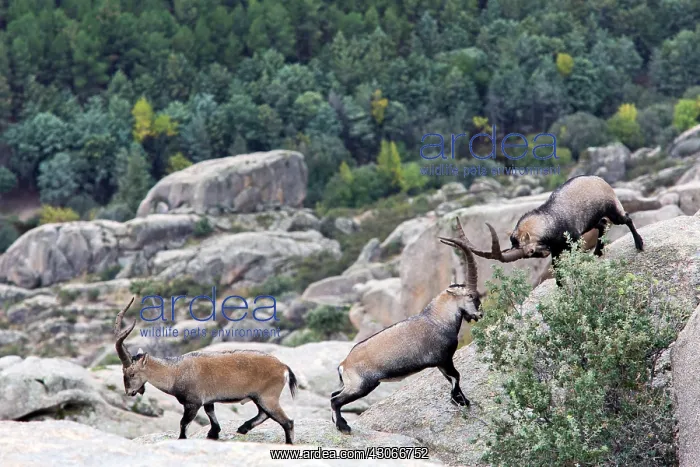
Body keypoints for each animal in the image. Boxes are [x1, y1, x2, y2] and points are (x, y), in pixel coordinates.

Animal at [114, 297, 298, 444]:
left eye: (131, 373)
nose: (130, 392)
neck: (174, 372)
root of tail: (283, 366)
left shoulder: (193, 403)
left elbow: (183, 424)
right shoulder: (208, 400)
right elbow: (211, 415)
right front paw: (213, 434)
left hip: (268, 396)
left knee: (286, 421)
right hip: (259, 397)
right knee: (264, 414)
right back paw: (243, 428)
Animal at [331, 227, 482, 434]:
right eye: (471, 296)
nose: (480, 314)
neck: (437, 319)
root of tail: (344, 364)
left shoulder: (441, 363)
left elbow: (451, 378)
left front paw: (461, 400)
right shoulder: (444, 358)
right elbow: (456, 376)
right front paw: (460, 401)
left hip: (351, 385)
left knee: (333, 394)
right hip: (361, 385)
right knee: (336, 400)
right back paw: (343, 426)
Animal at [461, 176, 643, 282]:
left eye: (530, 251)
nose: (542, 253)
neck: (549, 220)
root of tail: (602, 180)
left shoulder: (574, 239)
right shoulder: (556, 249)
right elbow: (557, 268)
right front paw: (561, 286)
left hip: (612, 208)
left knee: (626, 218)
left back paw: (639, 244)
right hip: (592, 221)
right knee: (603, 225)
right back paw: (598, 252)